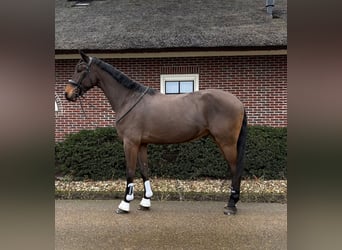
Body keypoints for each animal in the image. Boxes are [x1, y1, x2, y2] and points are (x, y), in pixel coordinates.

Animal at [65, 51, 246, 215]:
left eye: (81, 69)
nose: (67, 93)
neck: (129, 99)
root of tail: (238, 102)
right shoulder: (141, 144)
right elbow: (144, 170)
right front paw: (145, 202)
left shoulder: (130, 143)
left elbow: (130, 171)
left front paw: (125, 204)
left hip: (226, 142)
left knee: (235, 169)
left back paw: (231, 205)